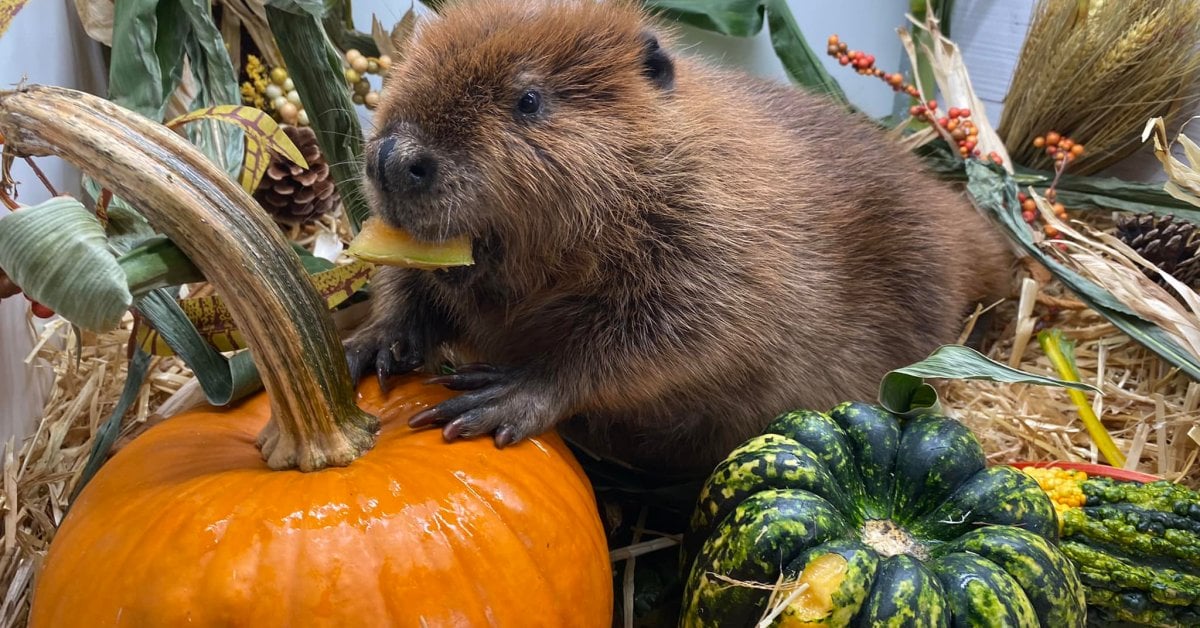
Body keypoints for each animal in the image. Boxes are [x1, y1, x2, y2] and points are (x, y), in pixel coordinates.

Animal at [343, 0, 1017, 475]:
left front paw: (499, 395)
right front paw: (365, 346)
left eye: (529, 99)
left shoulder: (723, 245)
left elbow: (667, 340)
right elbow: (405, 281)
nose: (394, 158)